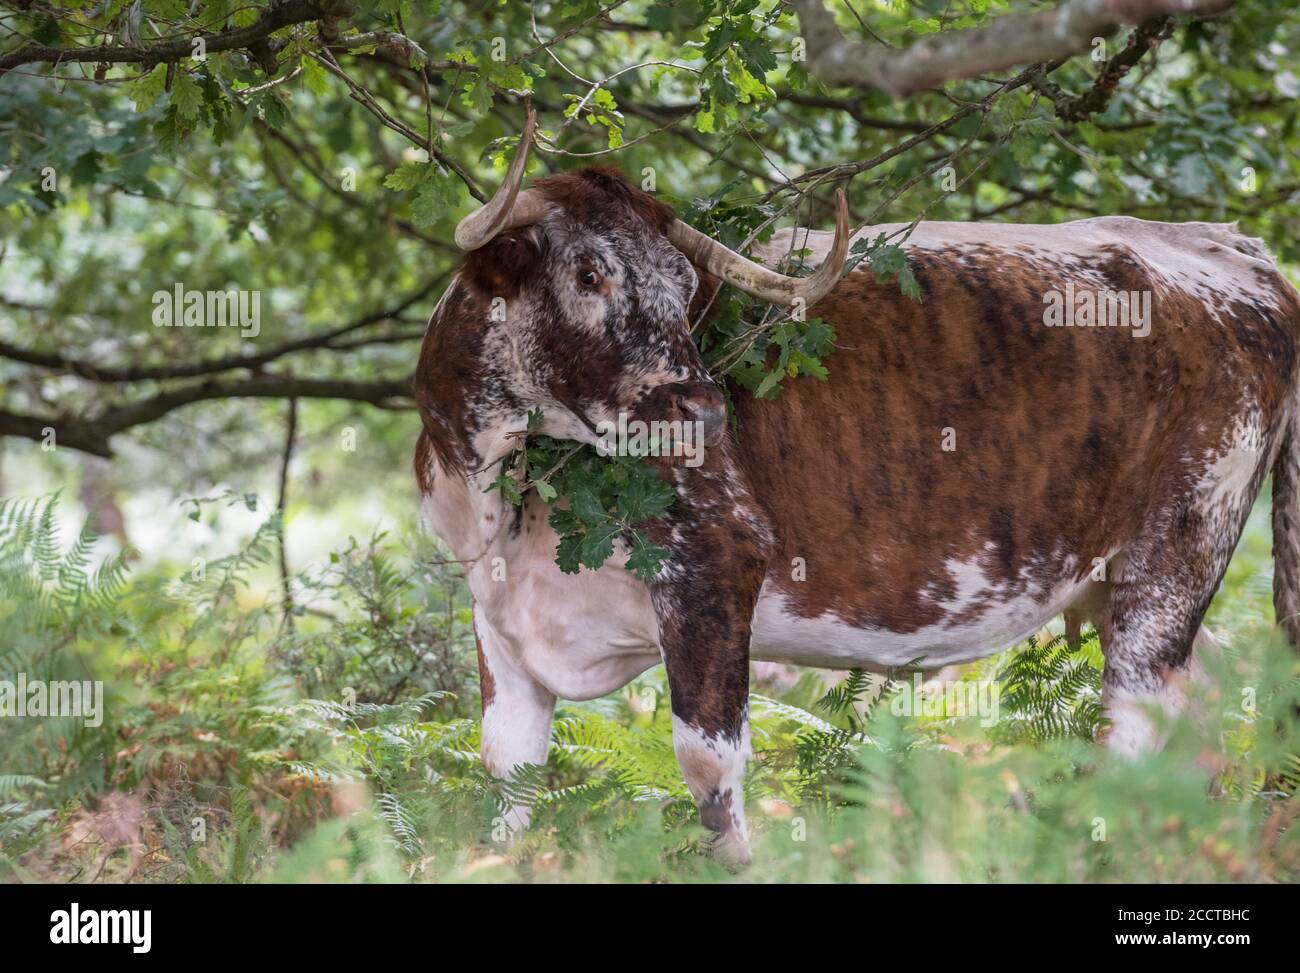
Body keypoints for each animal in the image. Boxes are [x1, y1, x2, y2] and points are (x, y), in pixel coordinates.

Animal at [414, 112, 1300, 865]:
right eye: (589, 271)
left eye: (682, 285)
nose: (702, 406)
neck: (500, 491)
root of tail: (1229, 246)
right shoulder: (498, 609)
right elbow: (508, 771)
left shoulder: (714, 569)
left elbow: (708, 769)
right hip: (1122, 581)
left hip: (1177, 551)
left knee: (1137, 724)